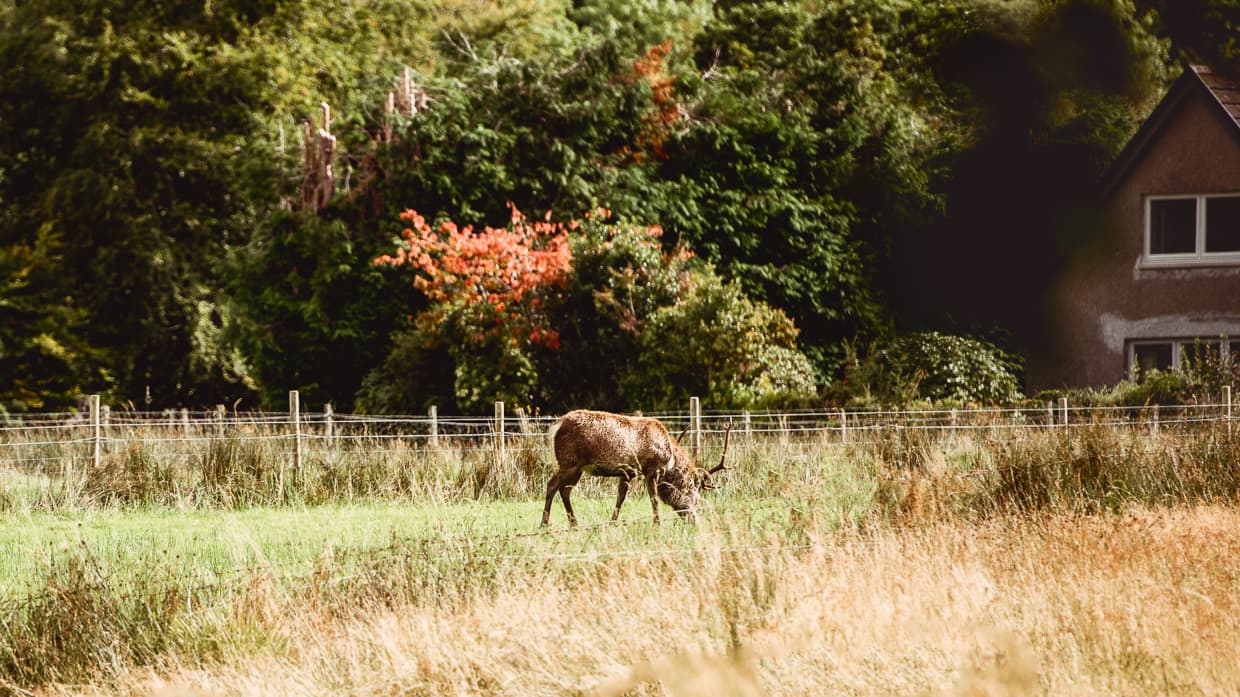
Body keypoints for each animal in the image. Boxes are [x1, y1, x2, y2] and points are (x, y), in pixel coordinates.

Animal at [540, 404, 729, 523]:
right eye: (695, 497)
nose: (693, 520)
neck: (669, 460)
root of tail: (555, 427)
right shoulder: (651, 469)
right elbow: (654, 499)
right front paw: (657, 524)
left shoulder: (627, 472)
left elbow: (621, 497)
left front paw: (612, 523)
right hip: (568, 462)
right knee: (552, 485)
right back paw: (545, 524)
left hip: (578, 468)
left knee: (564, 490)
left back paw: (574, 523)